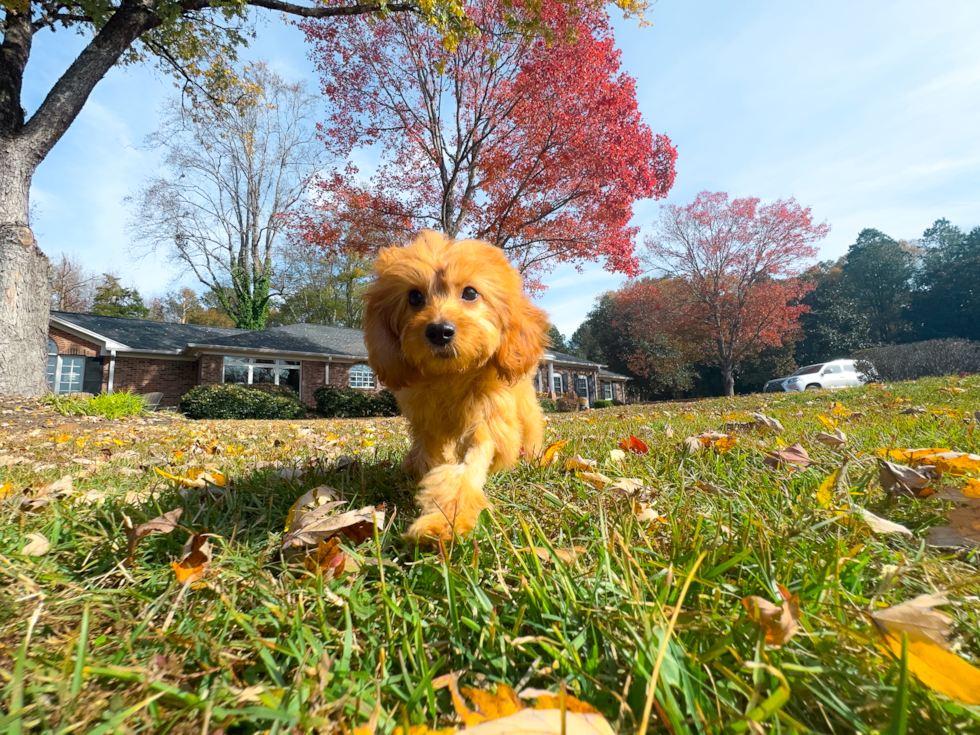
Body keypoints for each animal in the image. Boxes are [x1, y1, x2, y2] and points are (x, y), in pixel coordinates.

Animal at [366, 230, 552, 540]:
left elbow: (471, 463)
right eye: (414, 296)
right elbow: (432, 460)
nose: (439, 331)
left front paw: (443, 522)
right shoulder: (427, 424)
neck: (451, 375)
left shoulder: (488, 417)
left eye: (470, 293)